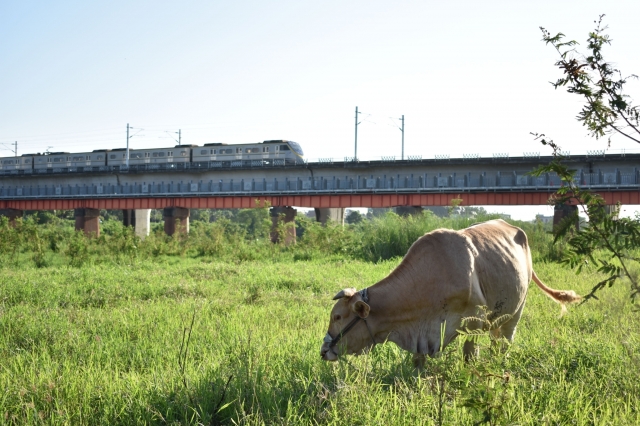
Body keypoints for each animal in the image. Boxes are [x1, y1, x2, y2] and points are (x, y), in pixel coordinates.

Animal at [320, 220, 580, 366]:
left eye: (337, 316)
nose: (323, 350)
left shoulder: (474, 322)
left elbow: (469, 355)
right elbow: (418, 361)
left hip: (516, 311)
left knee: (504, 343)